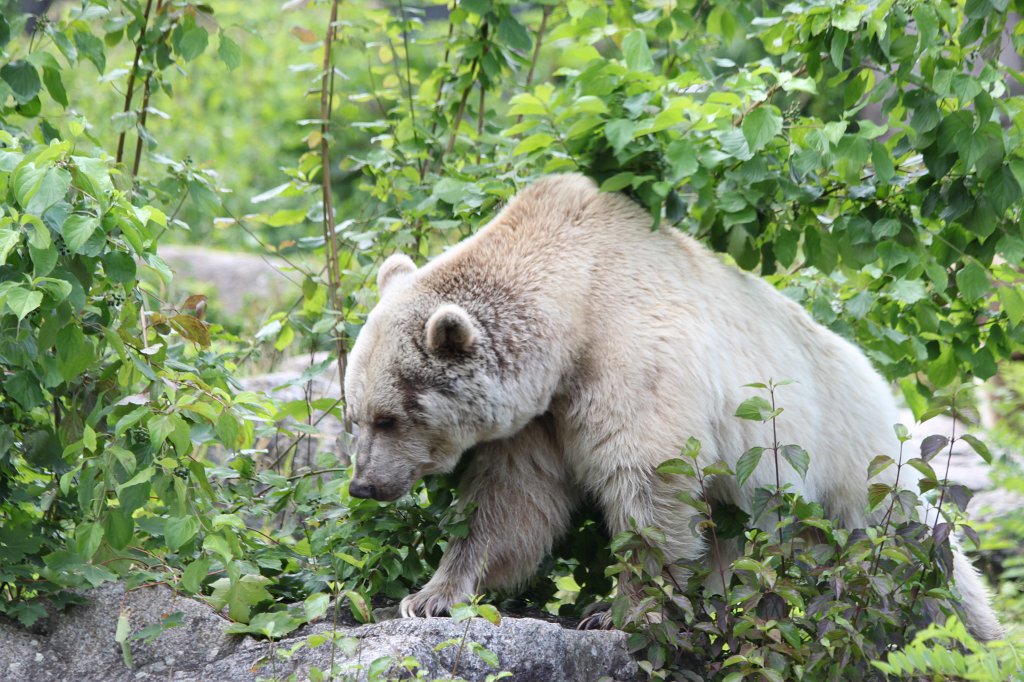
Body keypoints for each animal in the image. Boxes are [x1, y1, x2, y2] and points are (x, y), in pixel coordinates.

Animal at [342, 173, 1002, 640]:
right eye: (354, 414)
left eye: (389, 417)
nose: (363, 485)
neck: (574, 306)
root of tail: (877, 377)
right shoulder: (535, 416)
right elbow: (509, 504)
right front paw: (429, 595)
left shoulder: (633, 363)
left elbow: (648, 482)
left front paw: (621, 611)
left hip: (850, 454)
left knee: (911, 548)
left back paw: (974, 634)